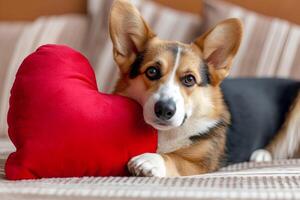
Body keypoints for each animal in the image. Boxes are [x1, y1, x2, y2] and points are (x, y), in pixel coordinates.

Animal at [108, 0, 300, 177]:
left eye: (189, 79)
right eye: (152, 71)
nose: (164, 109)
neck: (167, 133)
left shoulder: (200, 163)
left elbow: (174, 158)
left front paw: (150, 160)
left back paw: (262, 154)